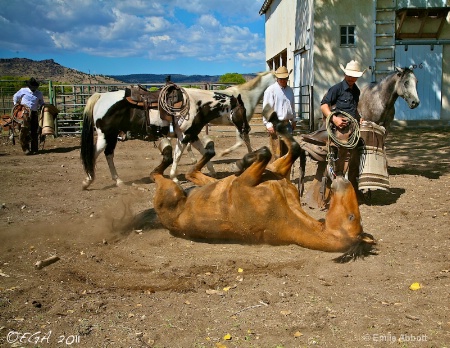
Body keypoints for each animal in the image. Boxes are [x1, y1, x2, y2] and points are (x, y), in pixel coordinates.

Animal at [151, 119, 376, 260]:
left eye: (351, 218)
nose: (343, 181)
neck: (288, 215)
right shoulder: (278, 172)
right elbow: (293, 149)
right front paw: (279, 128)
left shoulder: (244, 183)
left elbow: (266, 152)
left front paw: (242, 162)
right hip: (202, 182)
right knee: (191, 172)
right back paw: (208, 148)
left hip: (170, 190)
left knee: (161, 172)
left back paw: (168, 146)